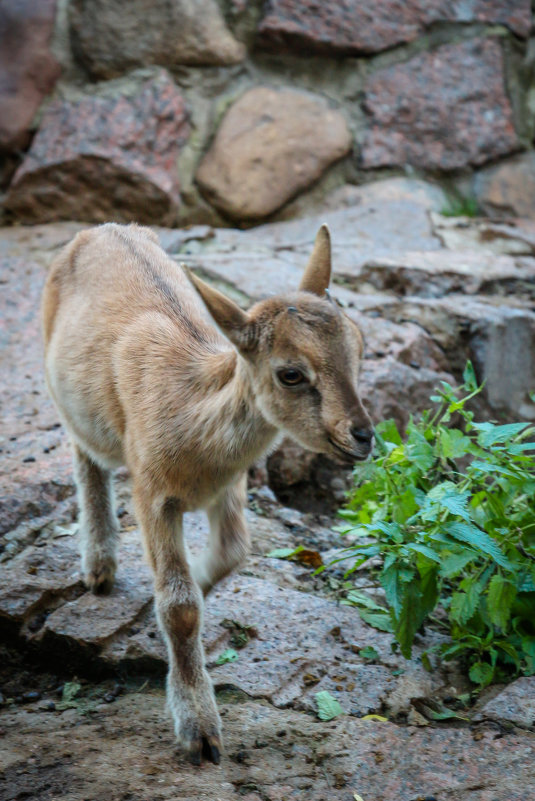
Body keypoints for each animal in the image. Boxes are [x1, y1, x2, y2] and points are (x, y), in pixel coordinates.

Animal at [43, 223, 372, 764]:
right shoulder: (152, 495)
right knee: (85, 457)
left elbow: (233, 552)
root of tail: (100, 230)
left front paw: (193, 585)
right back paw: (99, 567)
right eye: (291, 373)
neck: (189, 413)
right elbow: (179, 607)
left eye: (359, 347)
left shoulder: (230, 488)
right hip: (72, 403)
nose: (362, 436)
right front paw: (199, 731)